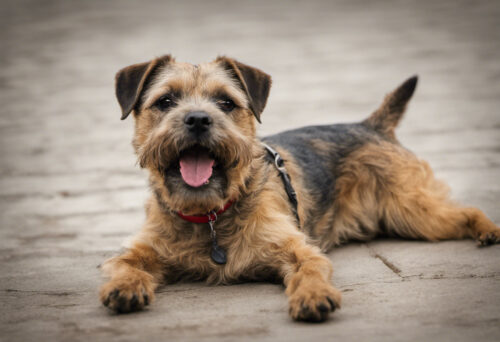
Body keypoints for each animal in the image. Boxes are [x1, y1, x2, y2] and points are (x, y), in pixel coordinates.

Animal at [98, 54, 500, 322]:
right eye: (165, 101)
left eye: (226, 102)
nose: (198, 119)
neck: (210, 214)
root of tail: (372, 125)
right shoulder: (141, 250)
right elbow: (125, 265)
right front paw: (125, 287)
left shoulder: (299, 250)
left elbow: (309, 270)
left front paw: (313, 295)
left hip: (414, 213)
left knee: (465, 210)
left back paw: (487, 230)